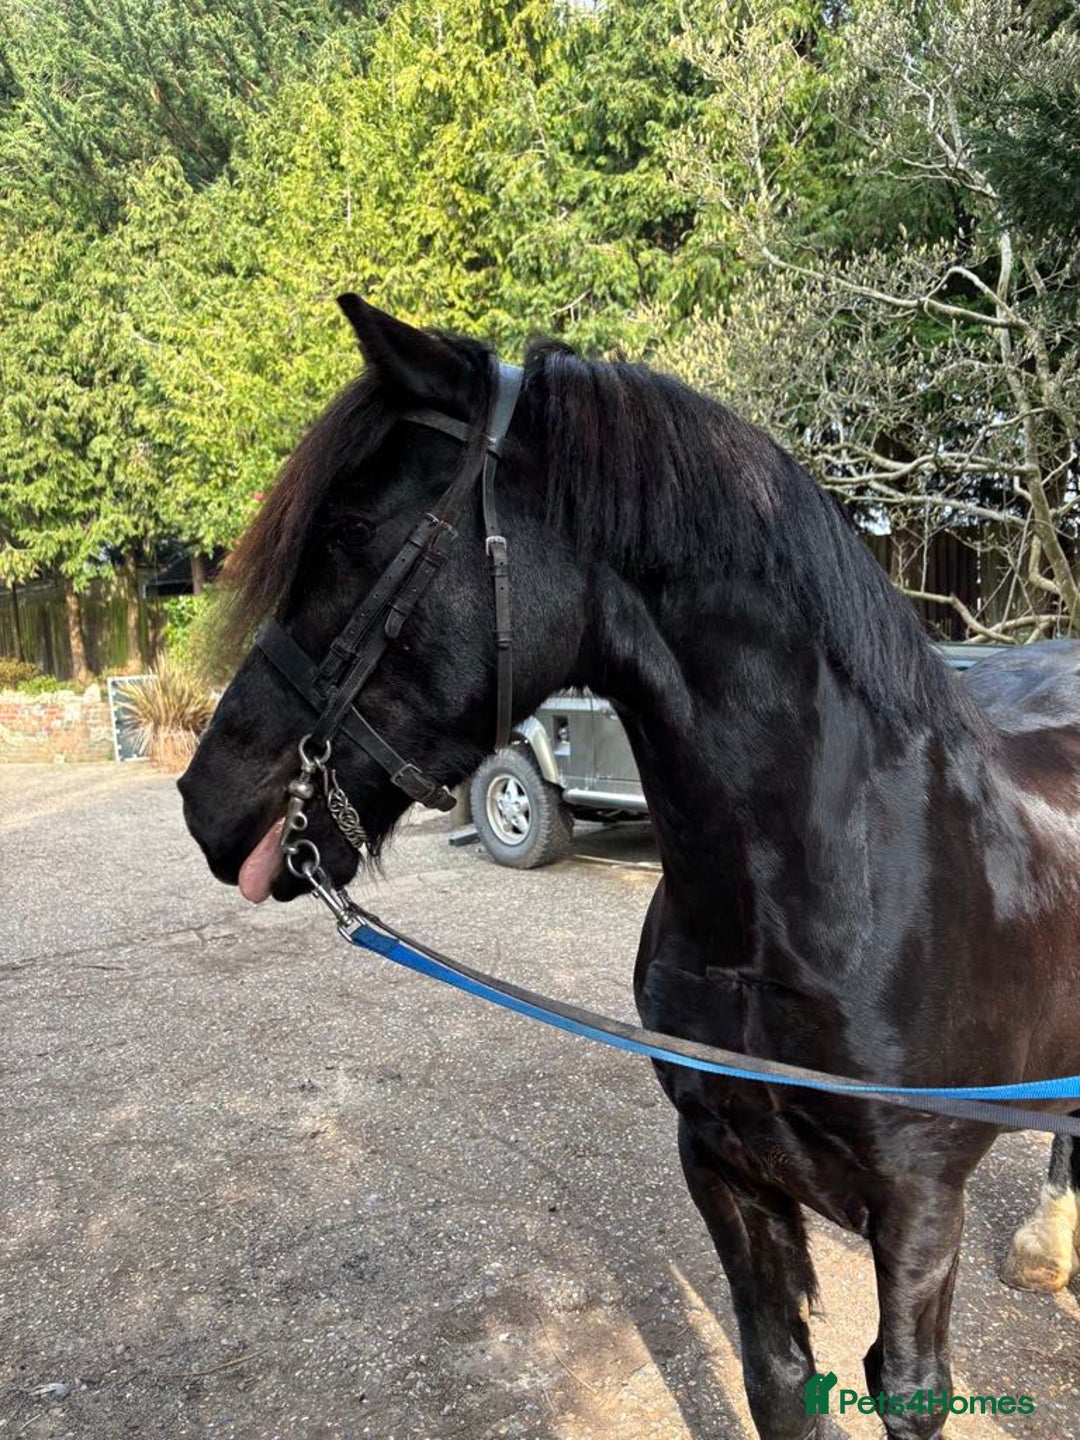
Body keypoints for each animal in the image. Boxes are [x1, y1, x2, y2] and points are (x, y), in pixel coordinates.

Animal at [178, 298, 1080, 1440]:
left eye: (348, 533)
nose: (207, 799)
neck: (827, 891)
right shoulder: (724, 1170)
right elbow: (777, 1375)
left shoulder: (920, 1210)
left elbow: (907, 1386)